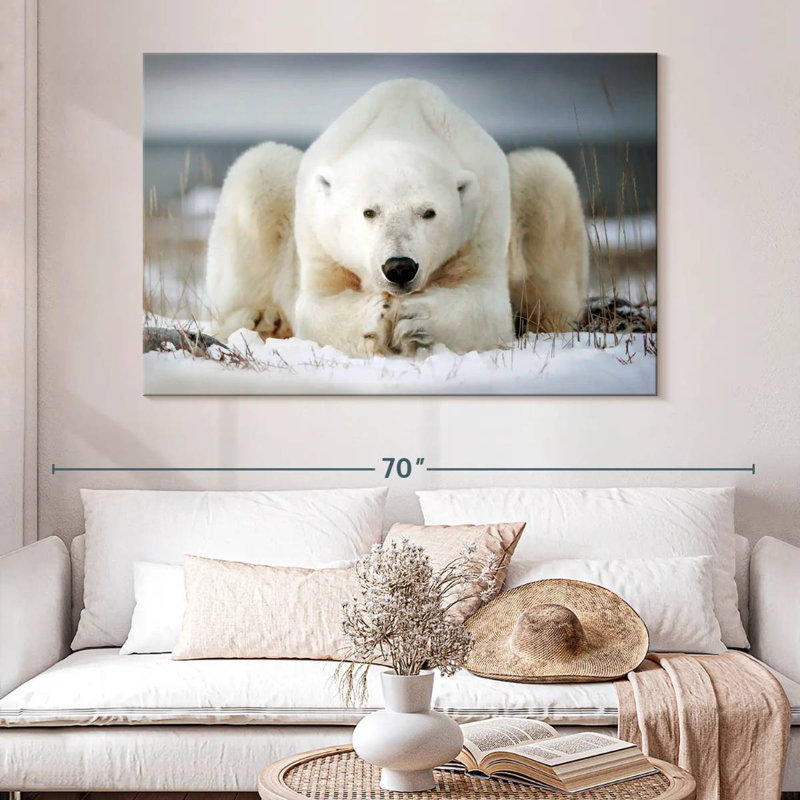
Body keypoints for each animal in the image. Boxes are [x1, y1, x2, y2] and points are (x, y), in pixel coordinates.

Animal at [205, 79, 588, 355]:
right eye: (369, 211)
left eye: (429, 212)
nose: (400, 267)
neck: (401, 120)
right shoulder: (319, 232)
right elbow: (317, 305)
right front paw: (374, 317)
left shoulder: (483, 215)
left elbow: (486, 305)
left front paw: (415, 319)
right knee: (259, 172)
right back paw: (262, 319)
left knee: (546, 178)